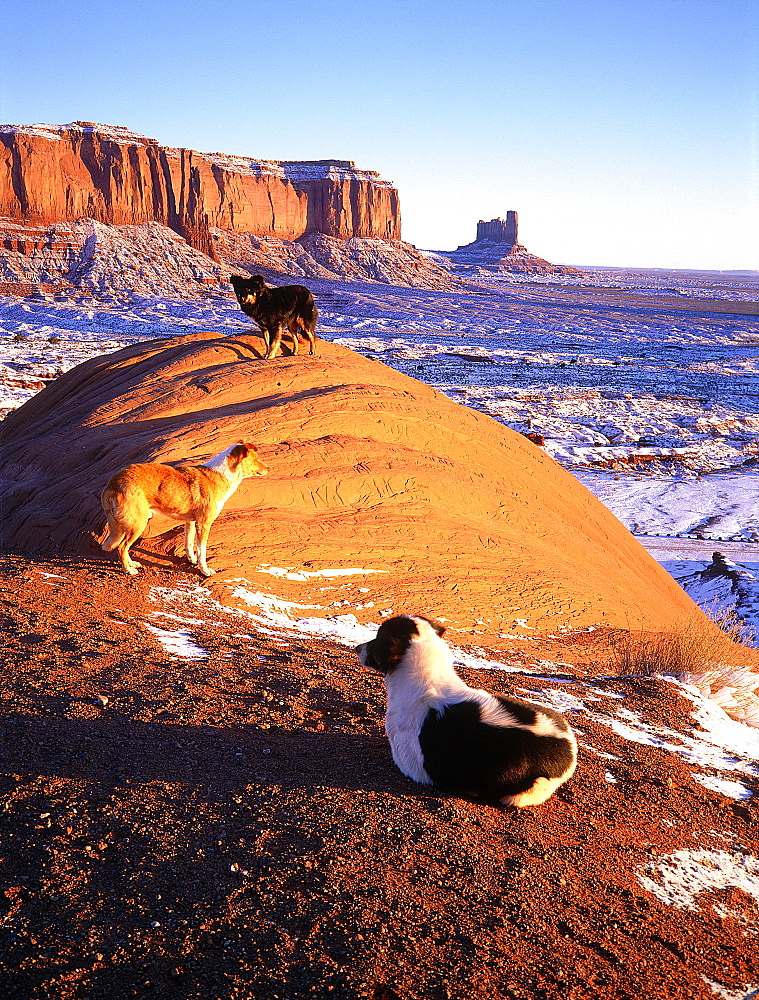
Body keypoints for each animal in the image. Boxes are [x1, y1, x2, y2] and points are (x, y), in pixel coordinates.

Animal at [99, 442, 268, 576]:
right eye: (256, 459)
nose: (268, 468)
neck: (221, 475)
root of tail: (112, 482)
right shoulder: (203, 524)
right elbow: (202, 551)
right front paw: (204, 570)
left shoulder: (191, 522)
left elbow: (189, 544)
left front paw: (192, 560)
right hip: (138, 524)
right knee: (121, 547)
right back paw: (128, 569)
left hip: (131, 524)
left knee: (123, 547)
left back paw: (132, 564)